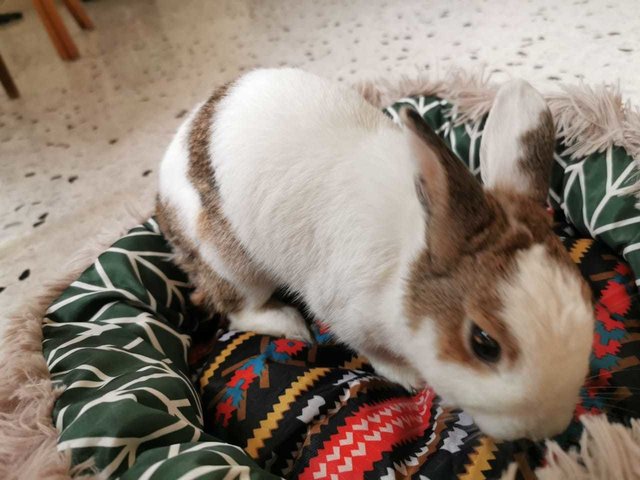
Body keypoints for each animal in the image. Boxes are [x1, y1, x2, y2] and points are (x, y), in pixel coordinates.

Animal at [158, 67, 596, 438]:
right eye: (484, 343)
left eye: (588, 297)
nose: (547, 429)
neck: (407, 262)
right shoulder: (345, 312)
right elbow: (372, 351)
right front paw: (409, 377)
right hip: (233, 267)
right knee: (237, 308)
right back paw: (290, 325)